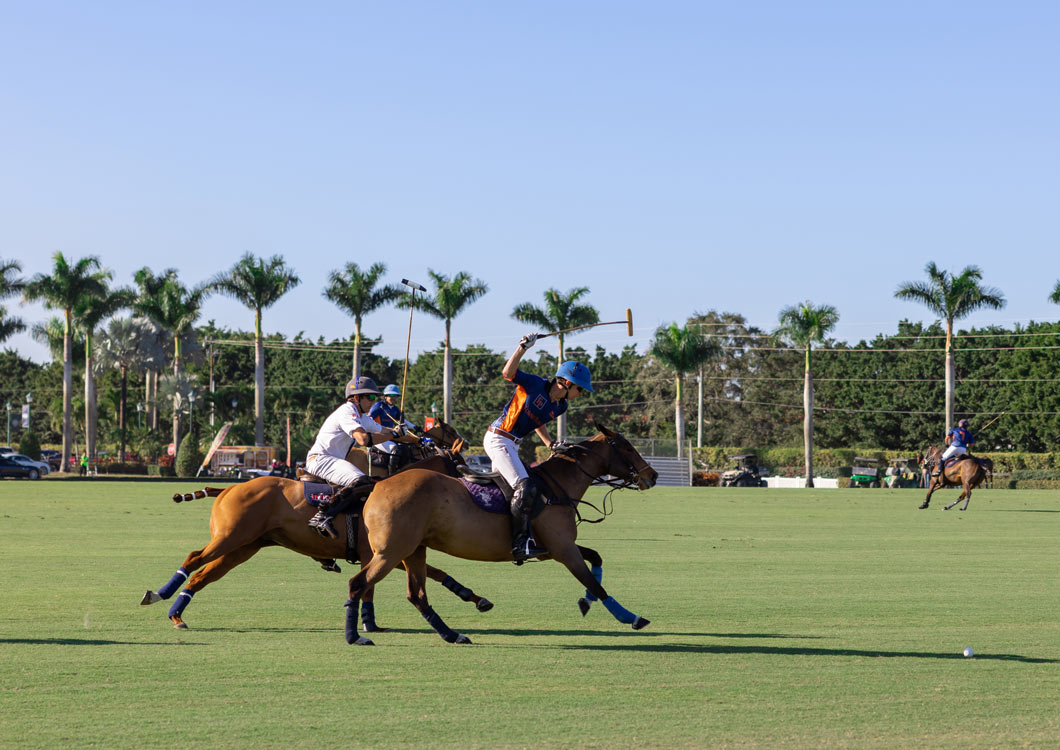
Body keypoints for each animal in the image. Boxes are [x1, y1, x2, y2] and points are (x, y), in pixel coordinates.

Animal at [341, 425, 652, 648]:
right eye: (626, 447)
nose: (653, 475)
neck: (557, 488)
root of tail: (377, 486)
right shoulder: (563, 549)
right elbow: (594, 582)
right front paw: (631, 617)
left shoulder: (554, 548)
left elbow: (595, 559)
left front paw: (586, 602)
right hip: (391, 551)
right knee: (359, 583)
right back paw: (355, 636)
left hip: (413, 549)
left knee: (416, 595)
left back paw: (453, 635)